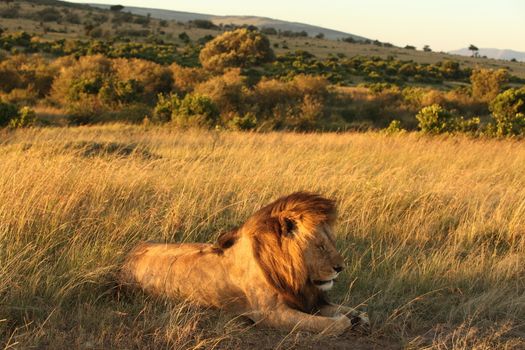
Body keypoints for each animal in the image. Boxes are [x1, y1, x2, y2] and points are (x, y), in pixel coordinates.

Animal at [121, 193, 370, 334]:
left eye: (331, 242)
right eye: (320, 246)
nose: (340, 268)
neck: (292, 274)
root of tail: (129, 254)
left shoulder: (308, 299)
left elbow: (347, 307)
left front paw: (359, 316)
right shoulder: (271, 314)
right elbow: (326, 324)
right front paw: (345, 322)